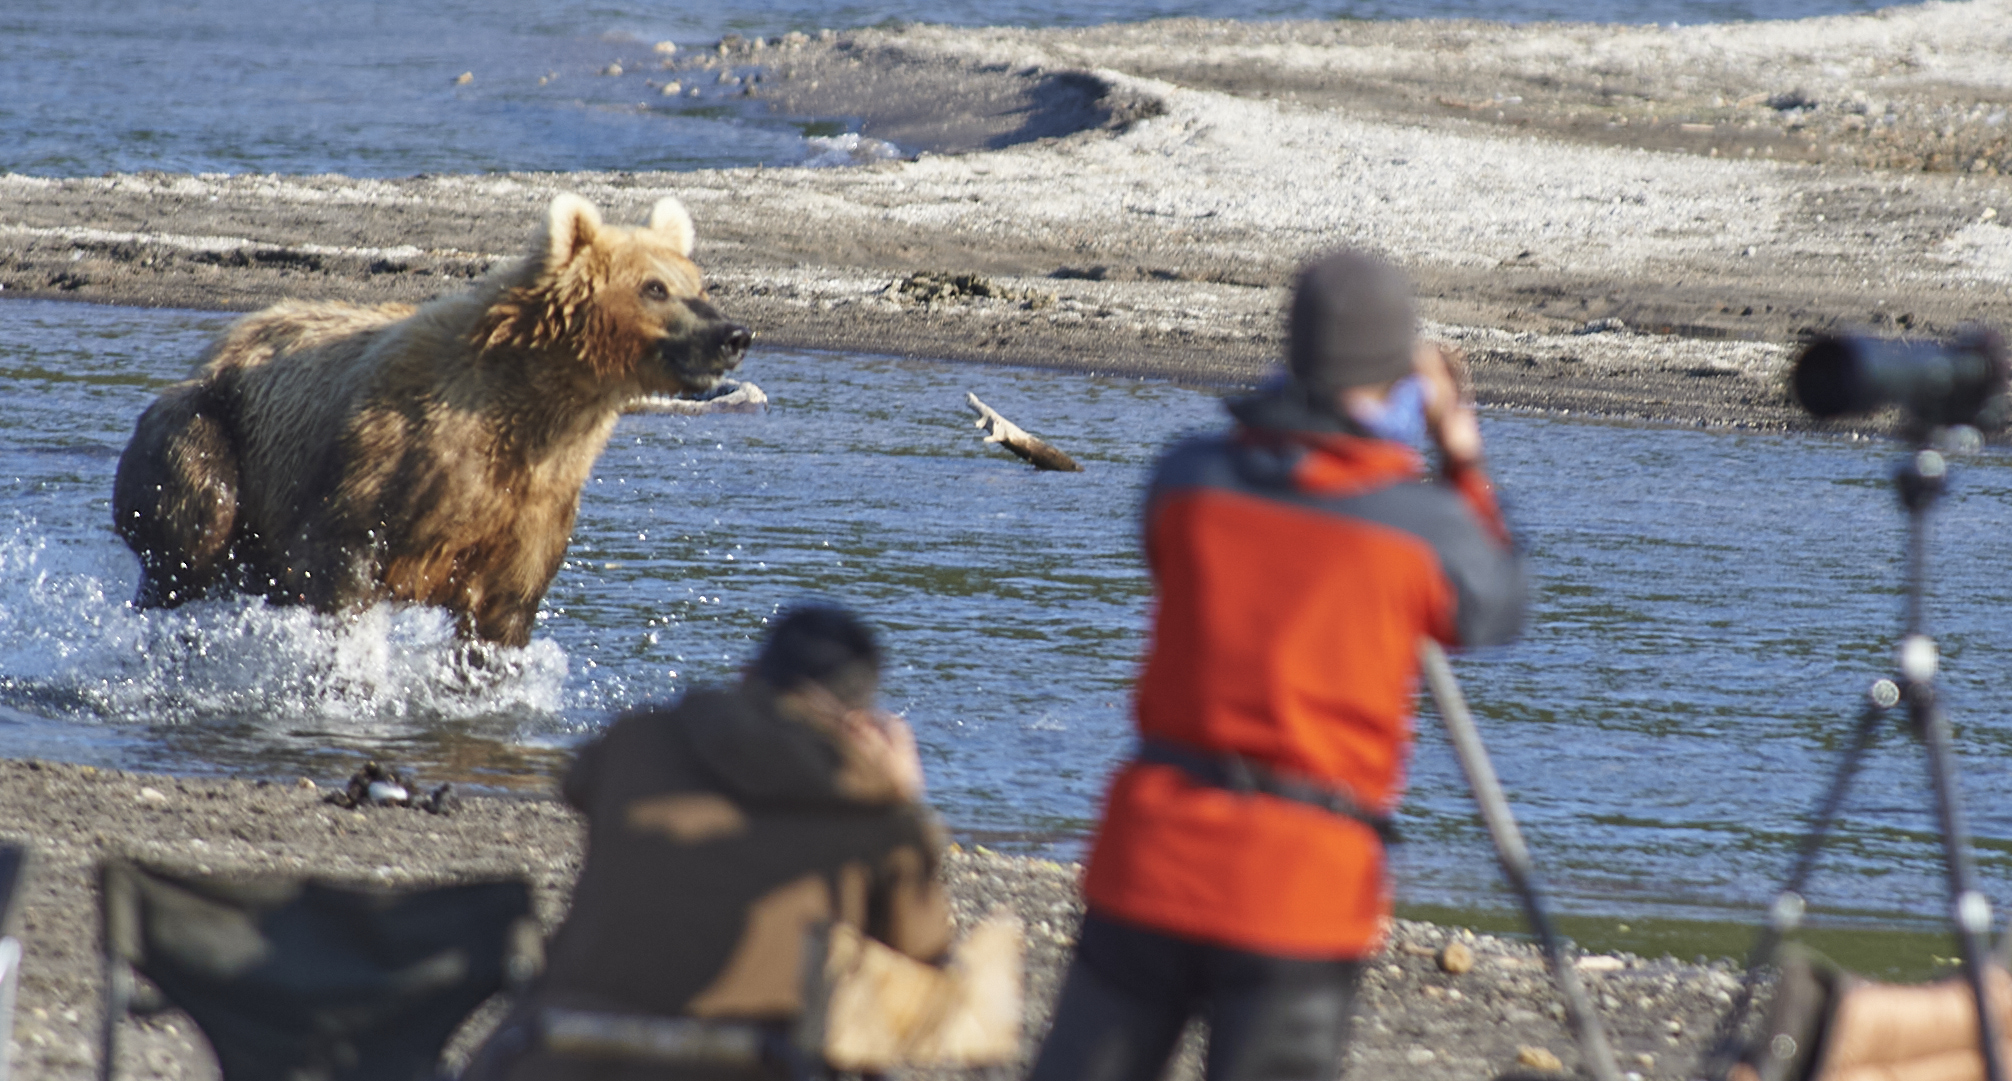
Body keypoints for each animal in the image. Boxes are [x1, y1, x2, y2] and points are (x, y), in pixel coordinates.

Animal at [106, 190, 748, 644]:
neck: (533, 409)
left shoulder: (533, 502)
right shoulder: (386, 462)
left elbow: (504, 616)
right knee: (192, 538)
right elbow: (337, 563)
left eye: (698, 283)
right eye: (655, 287)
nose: (733, 335)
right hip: (208, 432)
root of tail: (216, 351)